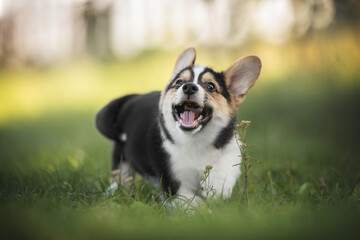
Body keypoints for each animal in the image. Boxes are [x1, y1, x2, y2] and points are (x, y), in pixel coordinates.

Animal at [95, 47, 260, 203]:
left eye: (210, 86)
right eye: (179, 83)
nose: (189, 87)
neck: (195, 141)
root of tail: (132, 99)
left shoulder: (229, 151)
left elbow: (222, 173)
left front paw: (217, 190)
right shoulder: (174, 184)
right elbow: (193, 203)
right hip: (122, 160)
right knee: (119, 179)